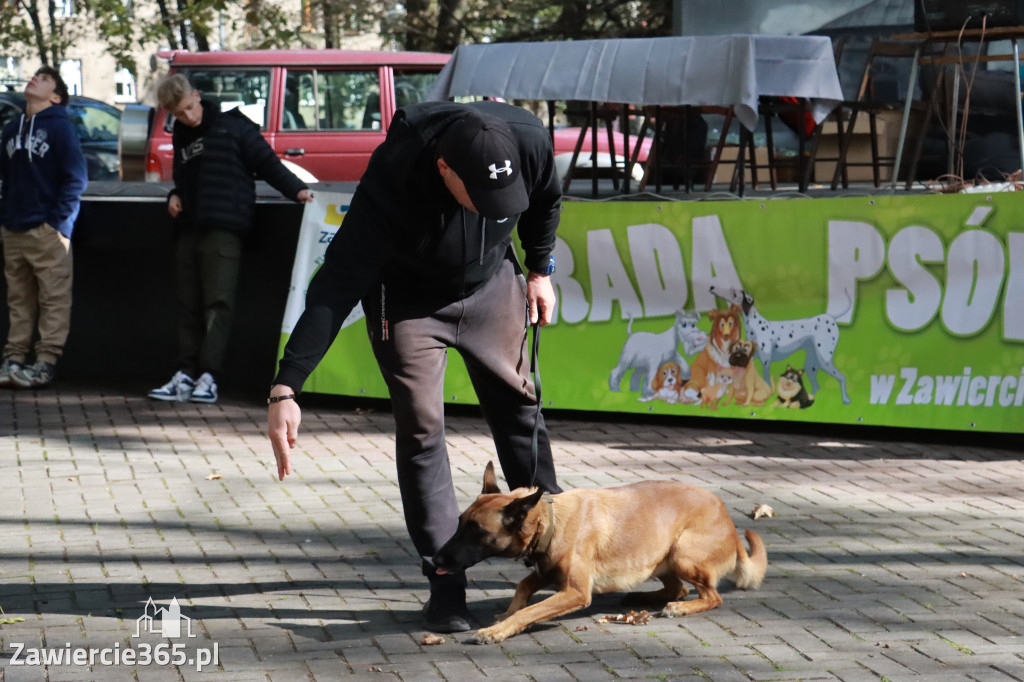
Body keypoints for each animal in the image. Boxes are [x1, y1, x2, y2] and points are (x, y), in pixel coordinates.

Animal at [432, 458, 770, 638]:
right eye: (460, 523)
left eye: (476, 531)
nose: (434, 559)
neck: (550, 522)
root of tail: (730, 525)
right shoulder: (548, 571)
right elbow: (524, 586)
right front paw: (506, 614)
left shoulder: (575, 592)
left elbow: (531, 609)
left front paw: (500, 630)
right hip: (660, 557)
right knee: (679, 588)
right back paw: (641, 596)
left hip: (681, 553)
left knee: (710, 596)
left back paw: (681, 607)